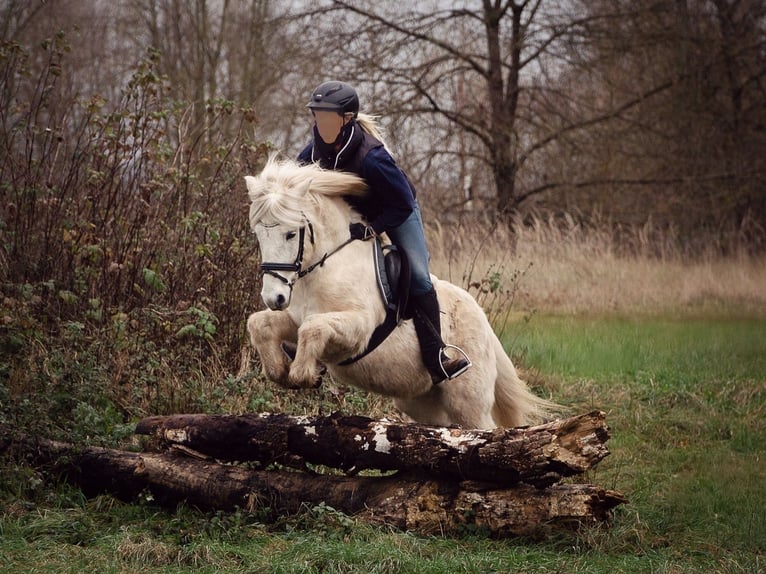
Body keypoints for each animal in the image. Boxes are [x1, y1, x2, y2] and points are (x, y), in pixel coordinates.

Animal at [244, 155, 555, 429]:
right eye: (258, 235)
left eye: (290, 234)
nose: (274, 298)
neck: (328, 265)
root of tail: (484, 323)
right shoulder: (295, 318)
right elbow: (260, 323)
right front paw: (280, 371)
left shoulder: (359, 328)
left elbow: (313, 328)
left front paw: (303, 374)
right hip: (422, 401)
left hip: (467, 399)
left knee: (484, 429)